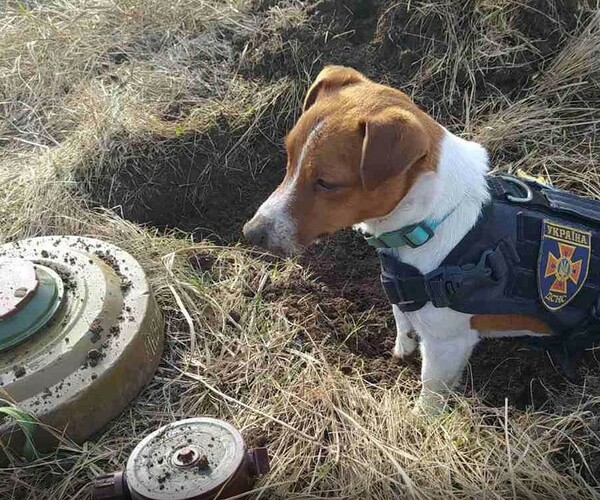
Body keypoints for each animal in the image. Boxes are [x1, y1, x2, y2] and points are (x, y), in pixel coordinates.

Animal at [241, 64, 596, 412]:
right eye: (289, 157)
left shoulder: (447, 345)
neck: (430, 221)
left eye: (327, 183)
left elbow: (430, 395)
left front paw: (420, 420)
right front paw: (402, 347)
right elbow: (402, 317)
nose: (252, 232)